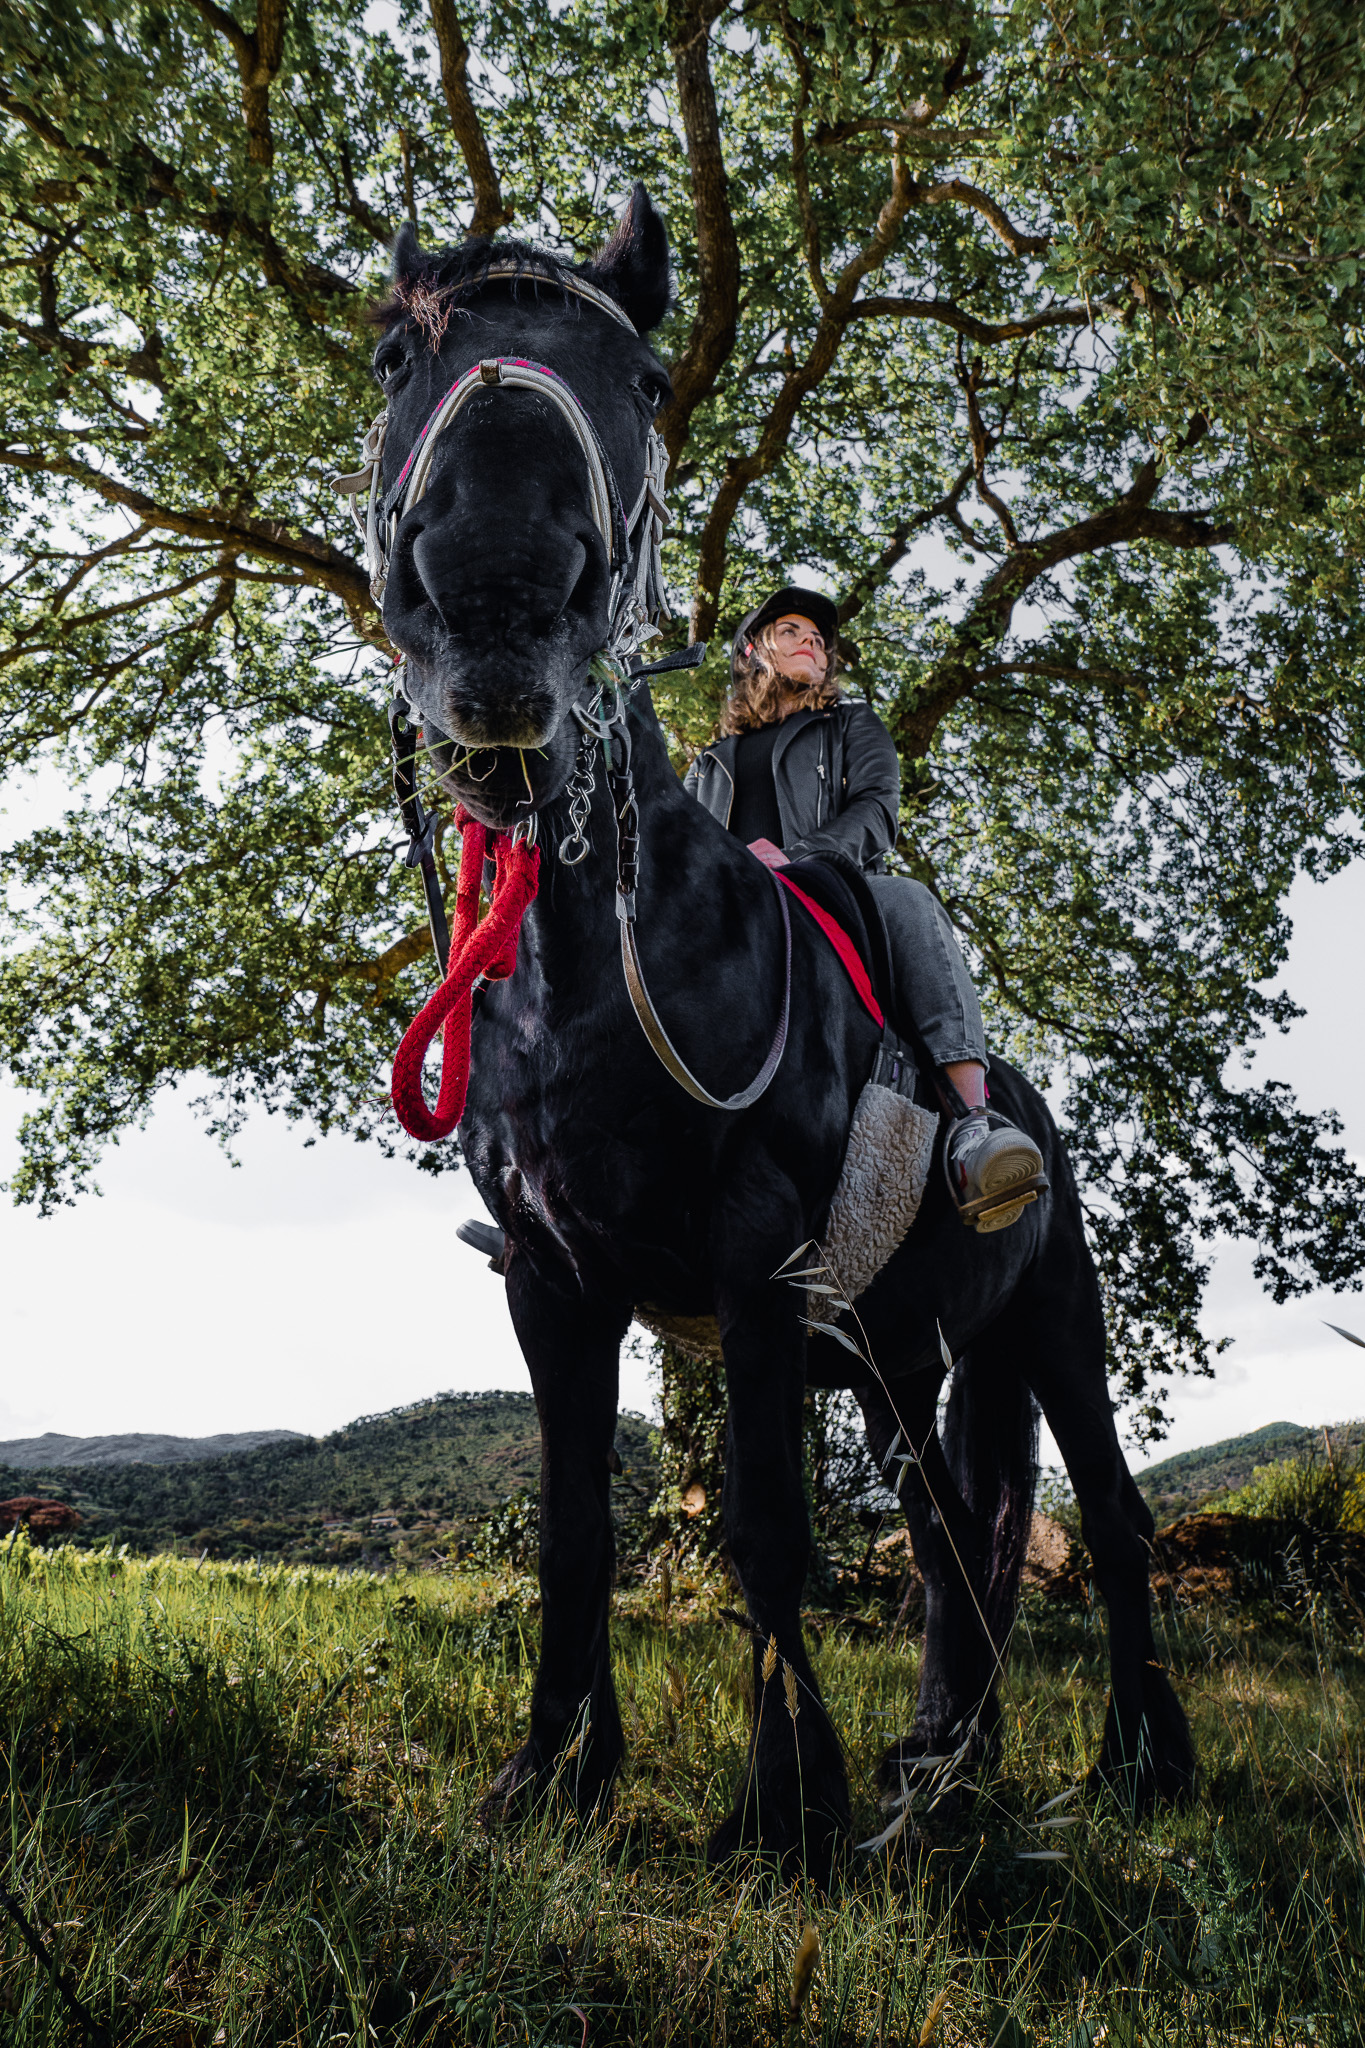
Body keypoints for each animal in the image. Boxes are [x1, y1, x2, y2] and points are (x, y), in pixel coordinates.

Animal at [353, 183, 1195, 1878]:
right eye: (396, 357)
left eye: (638, 378)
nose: (494, 601)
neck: (599, 967)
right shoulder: (552, 1284)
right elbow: (575, 1531)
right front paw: (553, 1779)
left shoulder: (754, 1265)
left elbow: (762, 1530)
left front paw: (786, 1812)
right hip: (897, 1357)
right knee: (954, 1532)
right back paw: (945, 1760)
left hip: (1045, 1324)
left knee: (1107, 1522)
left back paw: (1139, 1763)